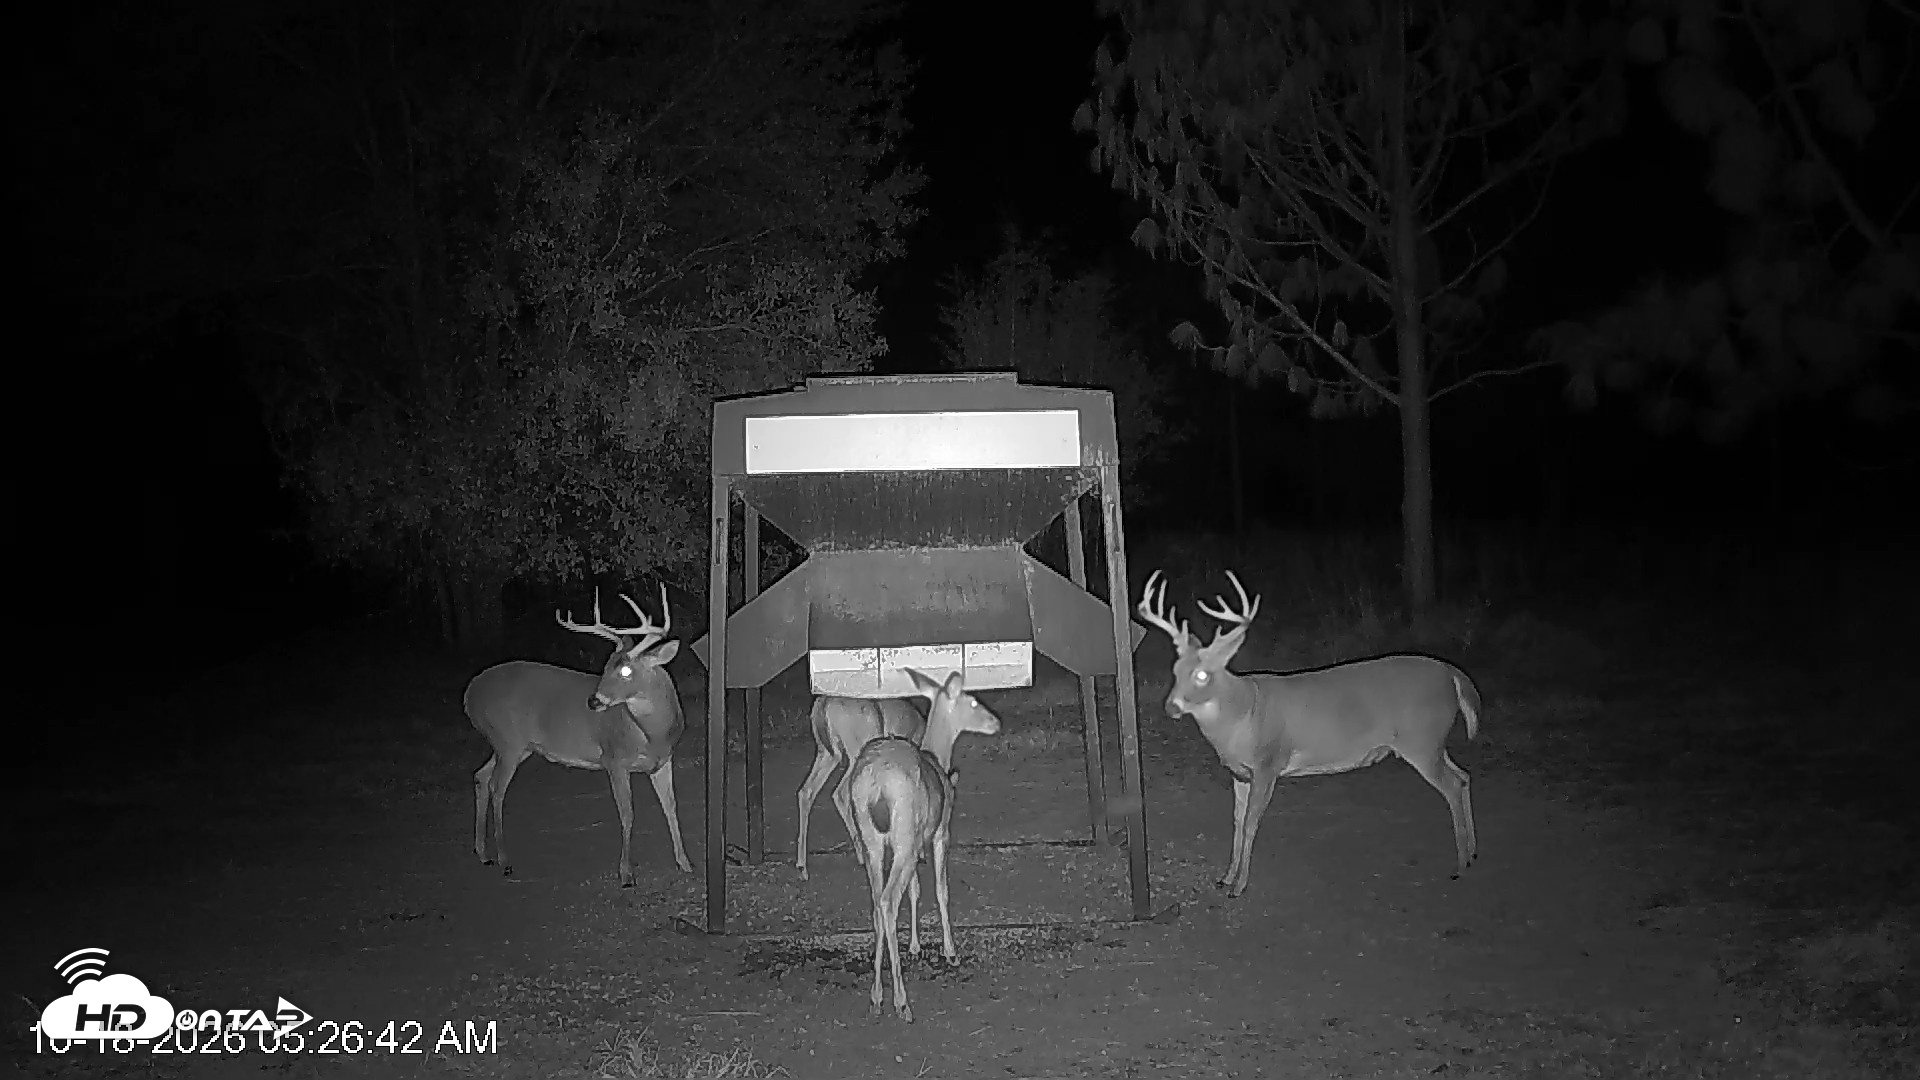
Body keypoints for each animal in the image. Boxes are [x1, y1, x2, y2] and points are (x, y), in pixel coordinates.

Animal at [464, 585, 693, 887]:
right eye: (606, 666)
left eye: (625, 670)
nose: (593, 701)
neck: (652, 733)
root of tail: (469, 695)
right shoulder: (614, 759)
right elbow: (627, 813)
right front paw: (626, 874)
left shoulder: (663, 761)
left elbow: (671, 807)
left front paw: (685, 863)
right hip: (508, 740)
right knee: (496, 787)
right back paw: (504, 860)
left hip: (513, 745)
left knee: (480, 776)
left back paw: (483, 853)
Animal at [795, 694, 927, 879]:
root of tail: (823, 703)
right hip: (856, 751)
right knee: (840, 793)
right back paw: (862, 855)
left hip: (828, 753)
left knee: (806, 791)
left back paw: (802, 866)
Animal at [848, 668, 1002, 1023]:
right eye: (973, 701)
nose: (995, 722)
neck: (938, 758)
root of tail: (876, 786)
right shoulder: (939, 833)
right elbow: (941, 889)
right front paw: (950, 951)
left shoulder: (916, 843)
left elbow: (915, 890)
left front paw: (916, 946)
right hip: (902, 836)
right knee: (888, 901)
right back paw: (901, 1002)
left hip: (874, 839)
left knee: (877, 903)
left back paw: (876, 996)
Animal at [1137, 569, 1480, 898]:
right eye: (1176, 671)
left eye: (1202, 674)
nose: (1171, 706)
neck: (1242, 714)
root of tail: (1453, 674)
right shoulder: (1239, 773)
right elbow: (1236, 822)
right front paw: (1225, 877)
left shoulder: (1268, 764)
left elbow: (1249, 824)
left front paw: (1239, 886)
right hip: (1434, 742)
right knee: (1463, 775)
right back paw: (1473, 854)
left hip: (1420, 740)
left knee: (1452, 785)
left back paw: (1461, 865)